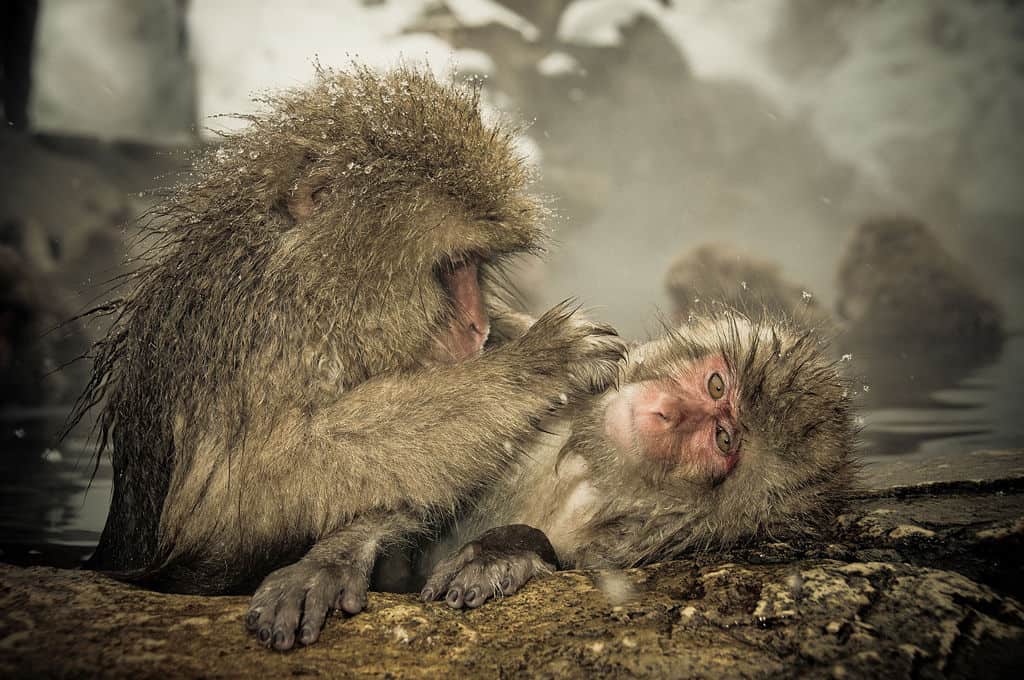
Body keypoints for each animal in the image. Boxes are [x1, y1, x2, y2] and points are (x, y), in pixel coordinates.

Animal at [68, 64, 626, 651]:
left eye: (478, 265)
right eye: (453, 264)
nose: (478, 328)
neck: (313, 299)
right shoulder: (259, 347)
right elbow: (232, 506)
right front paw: (537, 365)